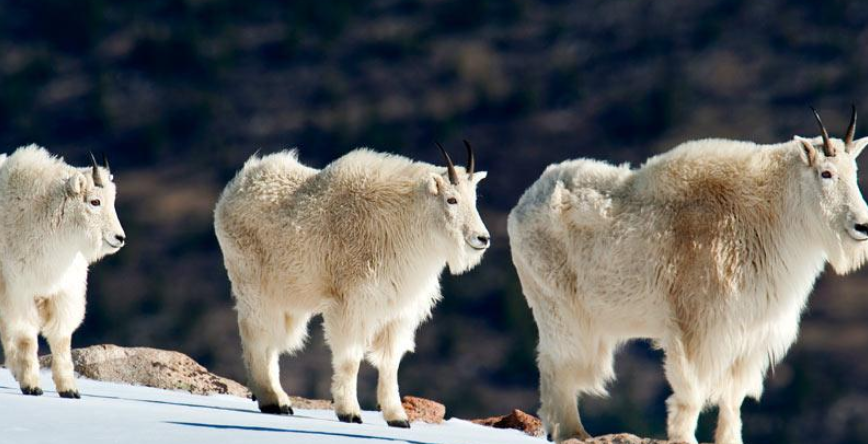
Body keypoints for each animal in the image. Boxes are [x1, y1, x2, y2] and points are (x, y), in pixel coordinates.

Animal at [0, 146, 125, 398]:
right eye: (95, 201)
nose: (120, 238)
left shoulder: (64, 291)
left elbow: (61, 338)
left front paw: (69, 389)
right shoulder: (19, 289)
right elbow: (26, 337)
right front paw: (32, 385)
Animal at [214, 142, 492, 426]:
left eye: (474, 199)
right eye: (451, 199)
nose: (482, 239)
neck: (405, 224)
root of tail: (235, 186)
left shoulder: (399, 311)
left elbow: (390, 362)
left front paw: (397, 418)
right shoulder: (352, 304)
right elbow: (350, 358)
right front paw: (349, 412)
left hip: (287, 297)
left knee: (272, 342)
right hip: (253, 284)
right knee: (256, 336)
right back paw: (273, 400)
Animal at [506, 108, 868, 444]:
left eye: (854, 172)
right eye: (826, 173)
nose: (862, 226)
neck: (768, 212)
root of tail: (522, 205)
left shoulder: (751, 331)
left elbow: (733, 396)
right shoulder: (697, 324)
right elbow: (691, 386)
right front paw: (683, 436)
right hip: (558, 306)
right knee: (556, 364)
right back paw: (574, 430)